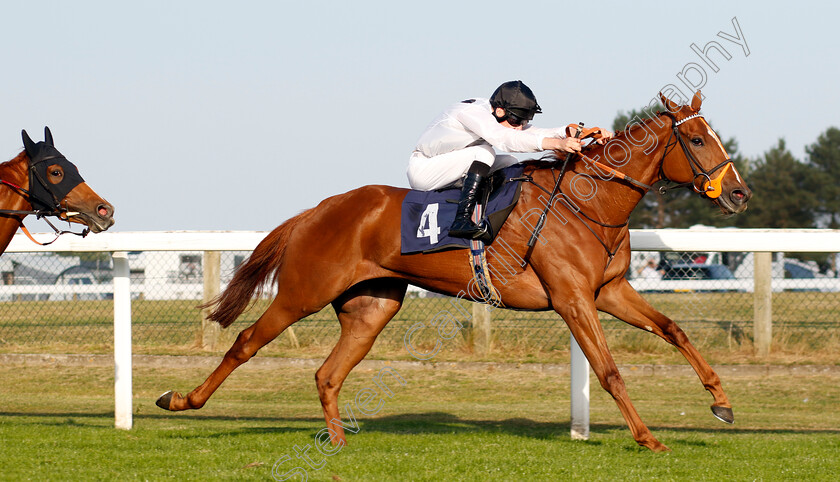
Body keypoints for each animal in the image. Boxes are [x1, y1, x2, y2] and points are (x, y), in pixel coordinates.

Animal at [161, 91, 752, 452]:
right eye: (696, 140)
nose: (740, 194)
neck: (589, 202)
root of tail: (317, 209)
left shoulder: (608, 291)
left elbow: (674, 329)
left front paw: (721, 401)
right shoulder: (572, 298)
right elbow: (609, 371)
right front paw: (648, 437)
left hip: (373, 306)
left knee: (328, 373)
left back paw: (338, 439)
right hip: (302, 292)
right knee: (246, 342)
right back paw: (182, 399)